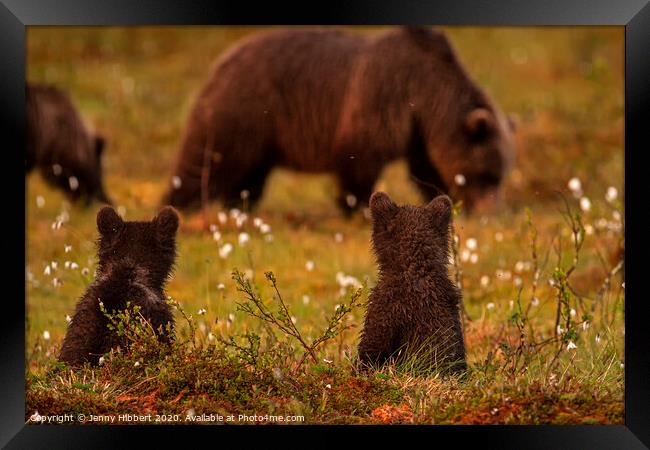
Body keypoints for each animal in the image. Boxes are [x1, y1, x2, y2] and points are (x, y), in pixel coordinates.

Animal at [161, 27, 512, 215]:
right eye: (487, 175)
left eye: (499, 177)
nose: (489, 211)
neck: (427, 91)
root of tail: (220, 62)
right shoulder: (383, 98)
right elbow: (360, 158)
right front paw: (356, 206)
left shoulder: (417, 129)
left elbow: (425, 169)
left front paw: (441, 197)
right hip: (241, 112)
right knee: (207, 162)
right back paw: (179, 205)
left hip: (260, 137)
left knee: (247, 177)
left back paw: (239, 206)